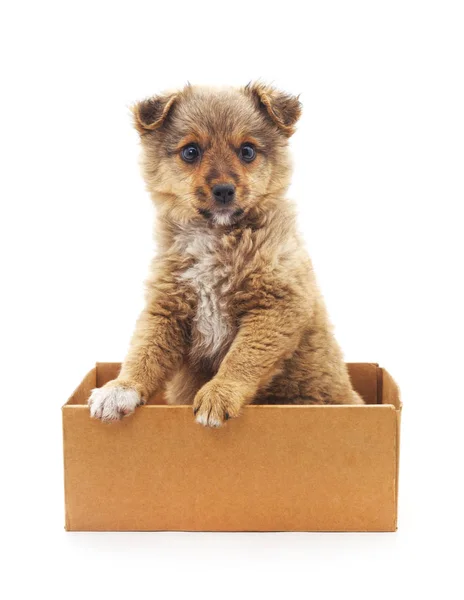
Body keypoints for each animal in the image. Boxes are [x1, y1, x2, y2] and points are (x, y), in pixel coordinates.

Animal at [88, 82, 362, 426]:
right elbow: (144, 351)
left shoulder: (276, 304)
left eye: (247, 151)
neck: (216, 236)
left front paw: (219, 394)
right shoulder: (168, 308)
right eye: (191, 151)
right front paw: (120, 389)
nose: (223, 191)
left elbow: (241, 358)